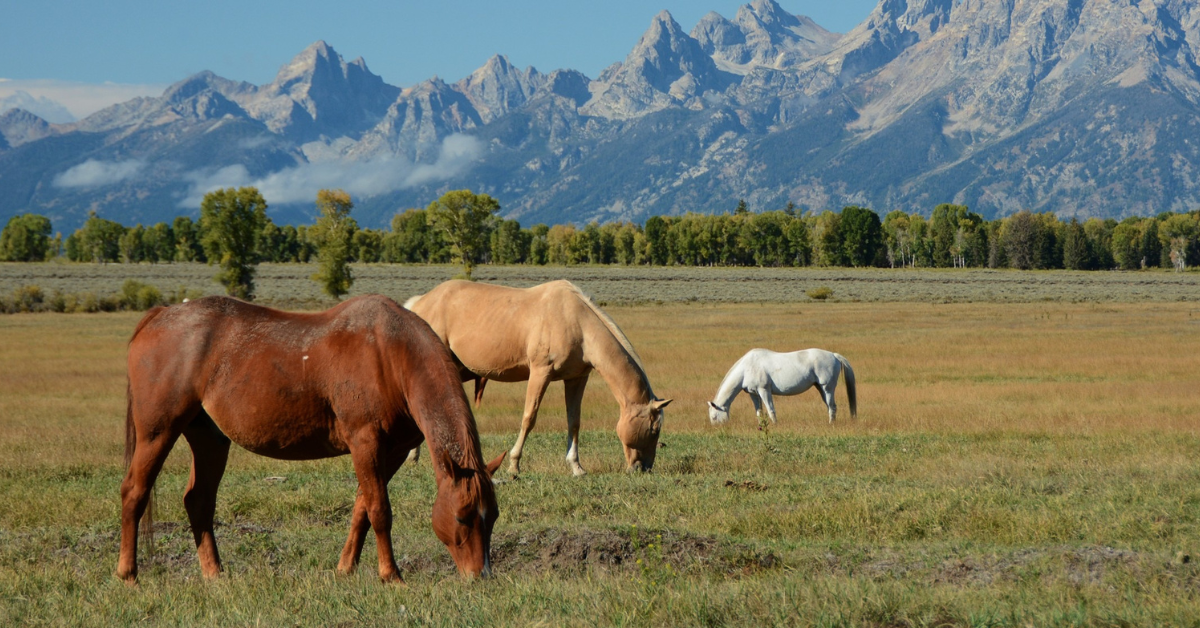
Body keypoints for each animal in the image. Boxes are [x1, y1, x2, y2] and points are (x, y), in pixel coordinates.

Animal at [117, 295, 501, 585]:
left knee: (198, 501)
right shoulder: (365, 443)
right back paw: (128, 573)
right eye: (463, 517)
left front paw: (346, 568)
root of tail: (159, 315)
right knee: (134, 492)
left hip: (210, 439)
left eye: (493, 516)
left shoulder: (392, 452)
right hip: (157, 432)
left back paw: (214, 574)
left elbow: (362, 509)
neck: (391, 354)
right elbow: (379, 510)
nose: (480, 576)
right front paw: (390, 575)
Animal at [400, 279, 667, 477]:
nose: (643, 468)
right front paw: (514, 465)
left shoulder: (576, 379)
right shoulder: (540, 372)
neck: (577, 322)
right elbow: (529, 418)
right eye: (654, 429)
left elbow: (574, 422)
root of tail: (420, 302)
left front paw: (576, 467)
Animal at [705, 348, 859, 427]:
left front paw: (774, 425)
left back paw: (831, 424)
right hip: (820, 388)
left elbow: (770, 410)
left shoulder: (764, 390)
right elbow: (759, 412)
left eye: (714, 416)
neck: (747, 368)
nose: (717, 428)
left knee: (832, 406)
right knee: (829, 406)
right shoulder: (753, 394)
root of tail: (834, 355)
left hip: (827, 388)